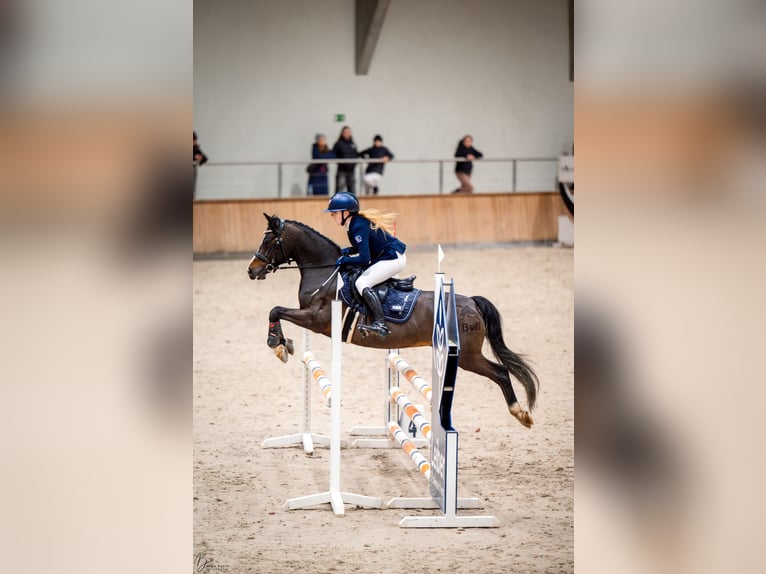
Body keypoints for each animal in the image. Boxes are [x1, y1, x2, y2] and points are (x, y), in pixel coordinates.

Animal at [247, 214, 539, 428]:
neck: (326, 272)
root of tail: (472, 303)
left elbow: (275, 310)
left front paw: (277, 345)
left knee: (500, 372)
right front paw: (285, 343)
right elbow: (278, 312)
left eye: (269, 241)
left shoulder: (317, 319)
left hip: (467, 356)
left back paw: (521, 413)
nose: (251, 270)